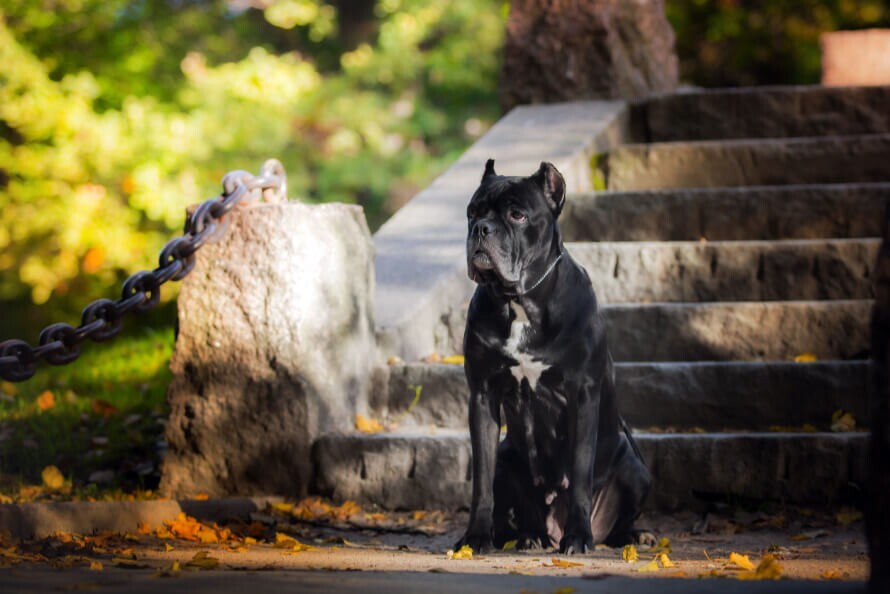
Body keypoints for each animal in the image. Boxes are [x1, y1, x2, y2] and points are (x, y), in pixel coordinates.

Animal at [454, 160, 648, 552]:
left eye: (517, 215)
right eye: (472, 213)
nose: (481, 229)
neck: (520, 303)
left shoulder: (582, 394)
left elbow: (580, 471)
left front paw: (578, 536)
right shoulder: (482, 395)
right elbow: (481, 481)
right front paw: (476, 536)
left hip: (636, 469)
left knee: (619, 518)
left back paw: (630, 536)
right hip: (507, 457)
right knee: (515, 508)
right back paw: (529, 537)